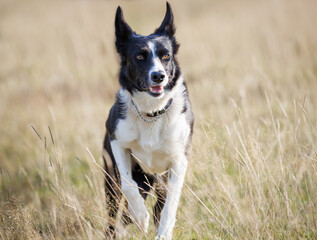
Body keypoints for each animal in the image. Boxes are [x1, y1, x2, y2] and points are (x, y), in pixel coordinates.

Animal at [103, 2, 193, 239]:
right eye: (140, 57)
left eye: (165, 56)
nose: (159, 76)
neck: (152, 112)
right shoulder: (117, 141)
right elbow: (128, 185)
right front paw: (140, 217)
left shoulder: (179, 161)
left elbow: (170, 204)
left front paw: (163, 233)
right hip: (111, 180)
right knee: (114, 214)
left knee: (157, 206)